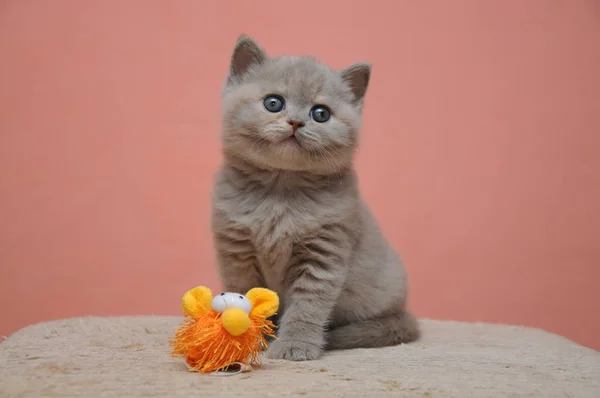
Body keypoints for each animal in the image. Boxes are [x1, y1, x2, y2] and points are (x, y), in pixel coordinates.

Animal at [213, 35, 420, 362]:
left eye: (320, 113)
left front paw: (294, 345)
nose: (296, 122)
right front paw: (251, 339)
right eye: (274, 103)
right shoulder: (236, 254)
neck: (280, 191)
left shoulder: (324, 253)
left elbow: (307, 306)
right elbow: (249, 297)